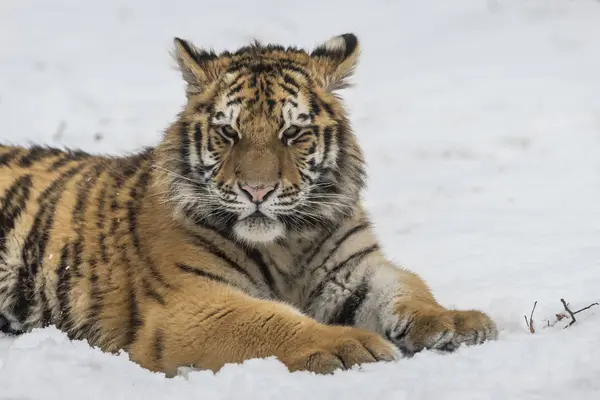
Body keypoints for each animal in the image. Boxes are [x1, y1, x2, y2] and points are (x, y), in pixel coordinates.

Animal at [0, 33, 496, 376]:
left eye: (292, 133)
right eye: (228, 132)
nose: (257, 192)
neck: (287, 243)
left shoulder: (353, 270)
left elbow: (410, 289)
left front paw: (459, 322)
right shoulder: (192, 303)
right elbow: (269, 322)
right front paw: (349, 346)